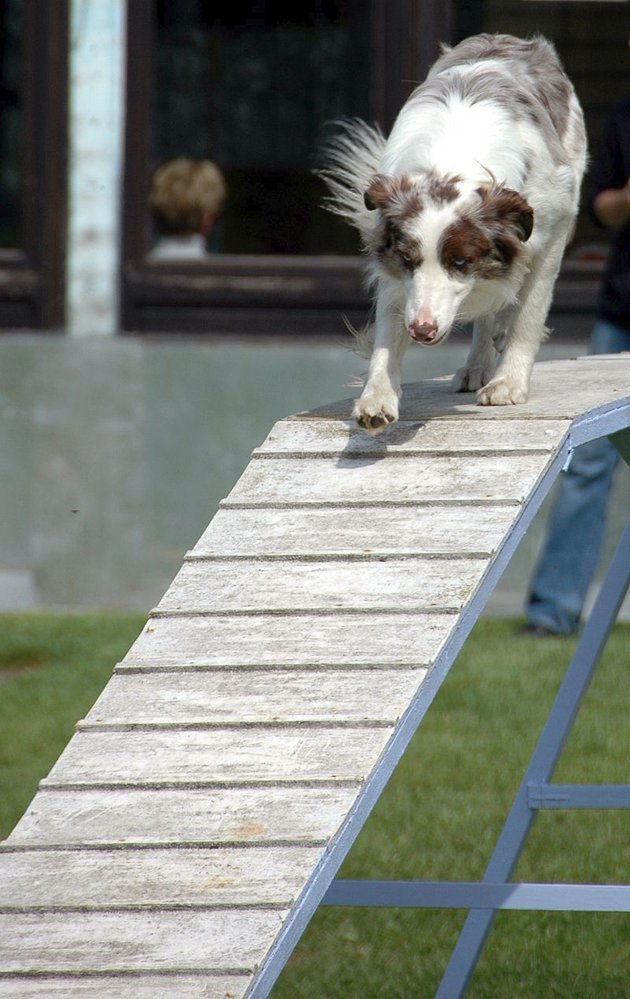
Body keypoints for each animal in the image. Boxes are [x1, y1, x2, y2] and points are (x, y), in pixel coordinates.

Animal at [324, 34, 592, 434]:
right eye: (408, 260)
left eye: (461, 262)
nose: (421, 330)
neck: (454, 162)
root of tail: (512, 39)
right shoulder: (395, 266)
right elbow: (388, 329)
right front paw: (377, 397)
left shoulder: (551, 229)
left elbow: (529, 314)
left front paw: (509, 383)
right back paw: (475, 366)